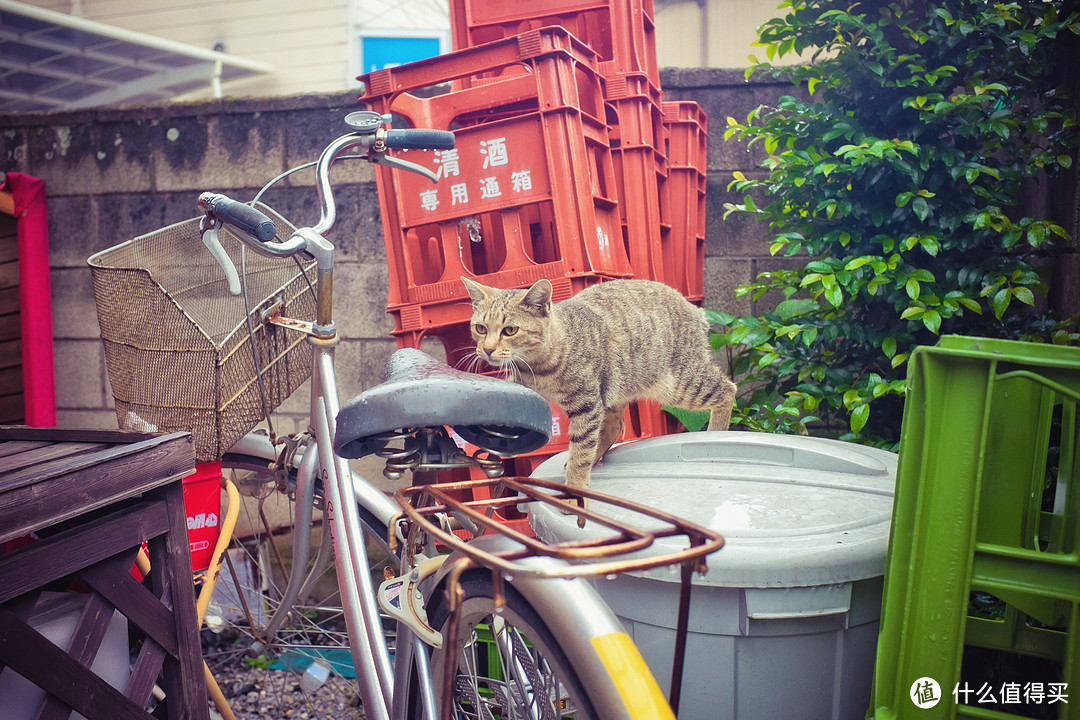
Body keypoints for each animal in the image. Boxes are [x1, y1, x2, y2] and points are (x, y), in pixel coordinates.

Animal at [460, 276, 738, 490]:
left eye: (510, 330)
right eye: (480, 328)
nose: (487, 350)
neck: (541, 367)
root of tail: (695, 310)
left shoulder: (586, 404)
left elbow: (581, 451)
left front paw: (575, 490)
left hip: (680, 383)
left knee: (727, 389)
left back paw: (715, 434)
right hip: (616, 387)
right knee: (615, 425)